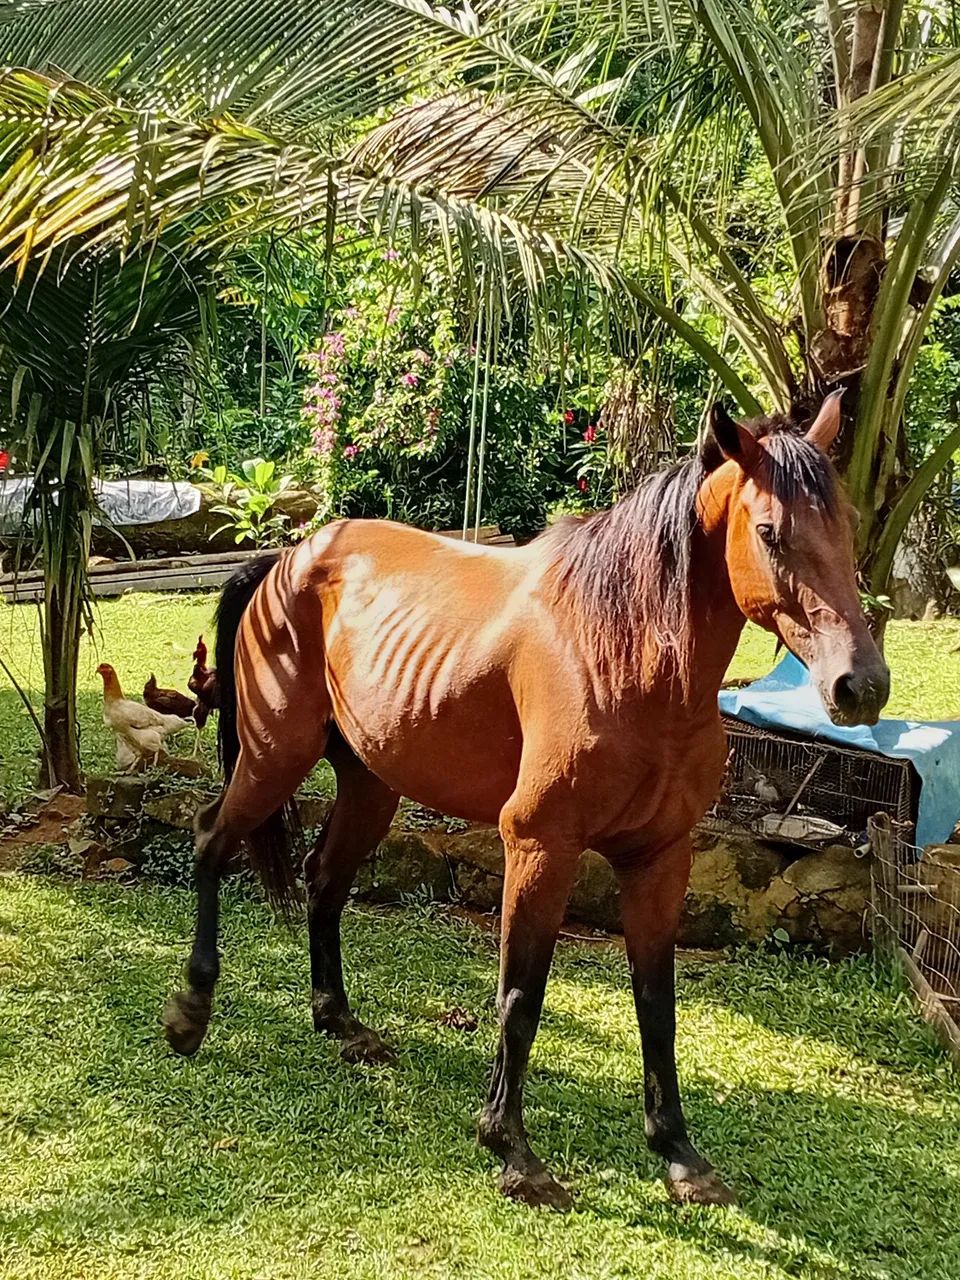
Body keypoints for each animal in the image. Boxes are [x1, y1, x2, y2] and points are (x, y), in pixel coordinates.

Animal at [163, 391, 889, 1210]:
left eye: (846, 527)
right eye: (769, 532)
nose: (861, 686)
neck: (624, 656)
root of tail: (286, 560)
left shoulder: (661, 859)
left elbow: (657, 1003)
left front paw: (678, 1153)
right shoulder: (541, 846)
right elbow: (521, 996)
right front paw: (512, 1149)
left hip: (371, 787)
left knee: (323, 881)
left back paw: (340, 1023)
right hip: (271, 760)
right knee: (210, 842)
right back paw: (191, 1013)